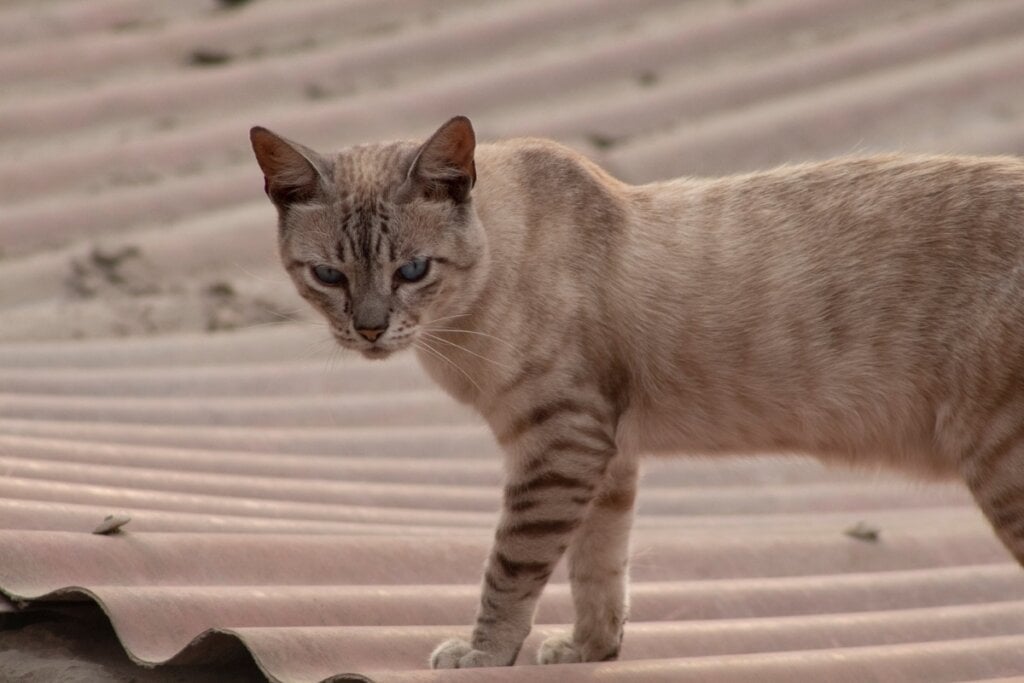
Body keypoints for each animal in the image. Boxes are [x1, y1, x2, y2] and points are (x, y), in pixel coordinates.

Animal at [247, 116, 1024, 667]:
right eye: (327, 276)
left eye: (412, 270)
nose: (370, 329)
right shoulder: (604, 456)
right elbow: (599, 568)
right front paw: (589, 651)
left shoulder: (558, 442)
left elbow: (512, 567)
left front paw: (482, 653)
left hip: (1002, 465)